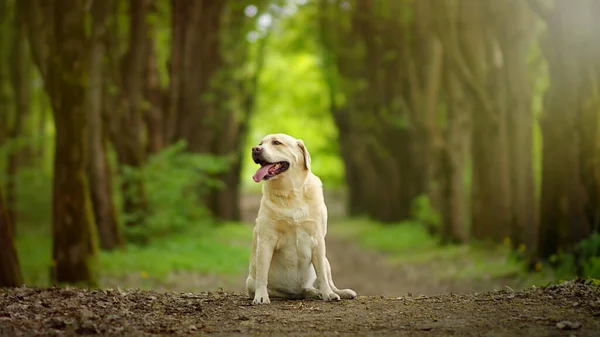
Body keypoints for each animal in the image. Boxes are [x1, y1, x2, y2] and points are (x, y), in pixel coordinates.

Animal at [245, 133, 356, 304]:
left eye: (276, 142)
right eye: (260, 143)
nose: (255, 149)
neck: (290, 193)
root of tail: (296, 291)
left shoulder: (318, 238)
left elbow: (322, 275)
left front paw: (328, 294)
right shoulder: (266, 240)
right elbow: (263, 274)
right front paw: (261, 296)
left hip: (326, 260)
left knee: (326, 279)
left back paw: (335, 292)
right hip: (251, 282)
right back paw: (311, 292)